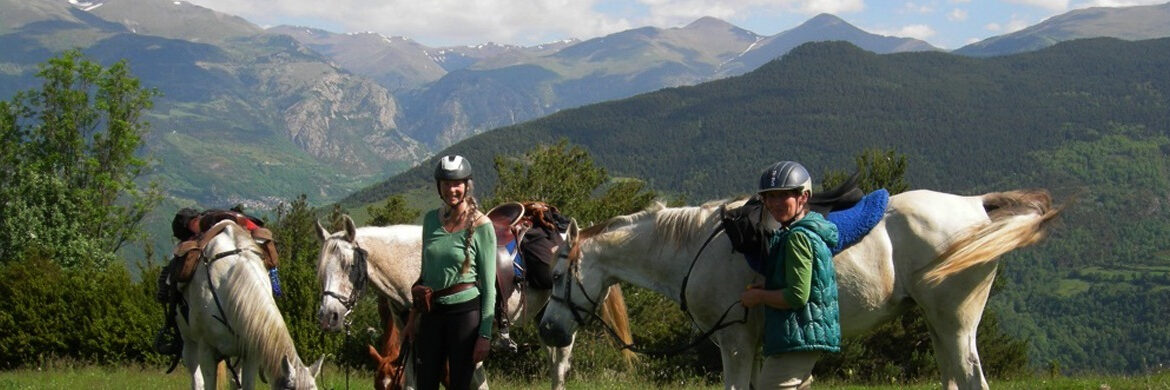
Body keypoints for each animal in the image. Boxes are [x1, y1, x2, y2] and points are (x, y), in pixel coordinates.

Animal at [311, 214, 627, 386]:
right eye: (321, 269)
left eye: (349, 265)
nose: (328, 317)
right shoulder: (415, 342)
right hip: (547, 317)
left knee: (560, 366)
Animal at [538, 188, 1062, 388]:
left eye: (560, 275)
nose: (547, 331)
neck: (693, 249)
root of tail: (976, 205)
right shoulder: (751, 345)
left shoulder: (734, 342)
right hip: (939, 326)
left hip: (955, 323)